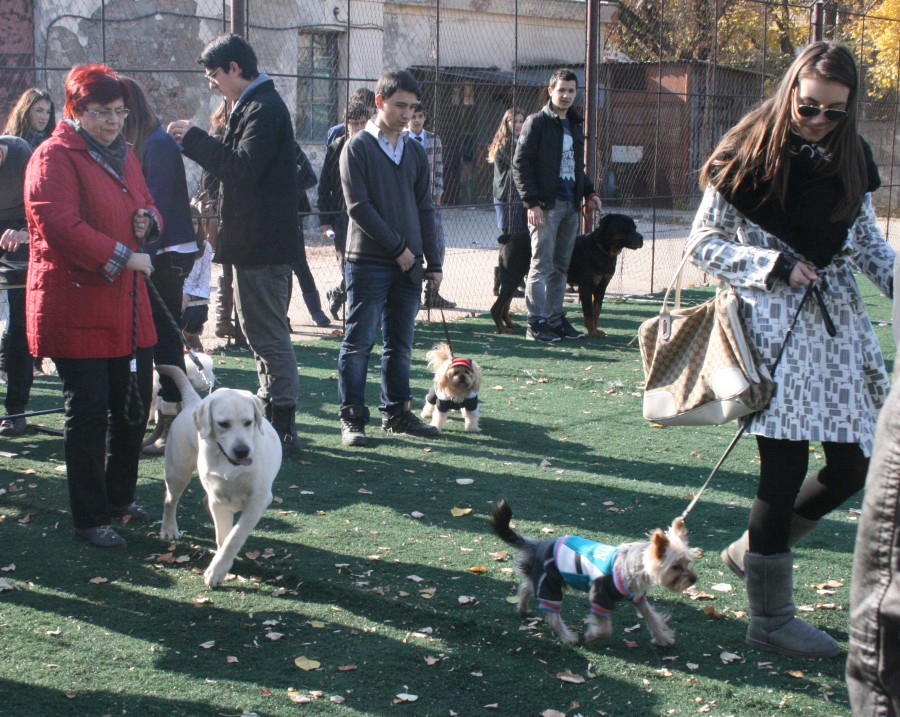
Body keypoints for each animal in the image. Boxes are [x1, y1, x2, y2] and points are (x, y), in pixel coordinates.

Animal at [153, 364, 282, 588]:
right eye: (223, 424)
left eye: (248, 422)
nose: (242, 451)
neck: (228, 464)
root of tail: (194, 402)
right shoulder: (220, 500)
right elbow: (225, 536)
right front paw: (219, 568)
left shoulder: (258, 499)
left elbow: (234, 536)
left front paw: (218, 569)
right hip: (178, 472)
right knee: (170, 500)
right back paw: (169, 529)